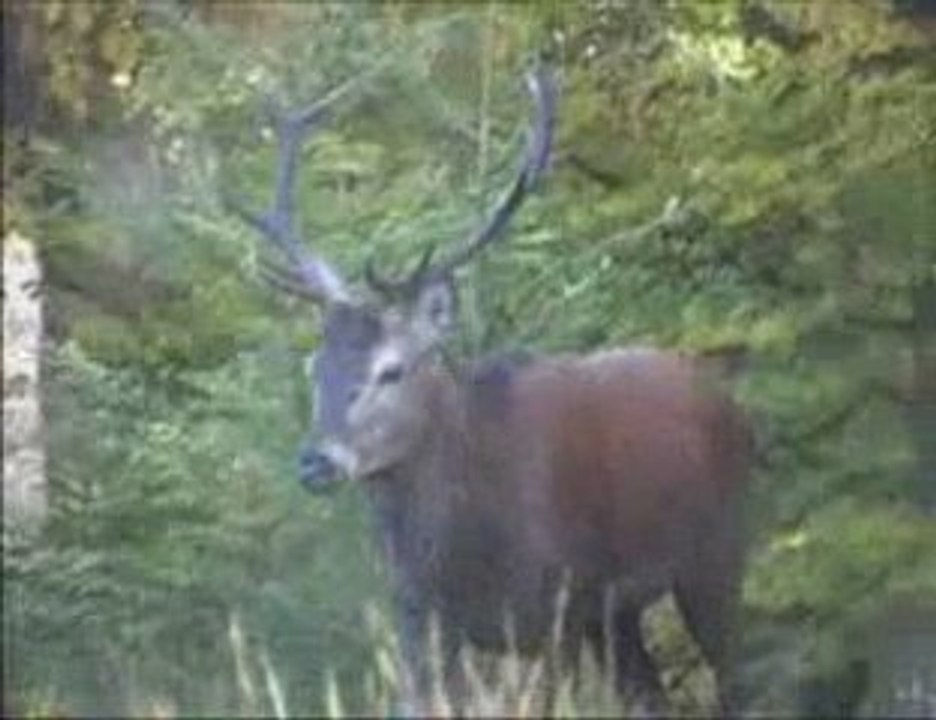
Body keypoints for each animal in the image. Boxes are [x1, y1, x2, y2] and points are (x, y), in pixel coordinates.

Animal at [228, 64, 751, 717]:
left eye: (391, 369)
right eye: (314, 367)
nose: (317, 461)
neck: (461, 559)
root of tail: (724, 395)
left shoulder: (554, 608)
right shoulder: (422, 625)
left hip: (717, 554)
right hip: (617, 614)